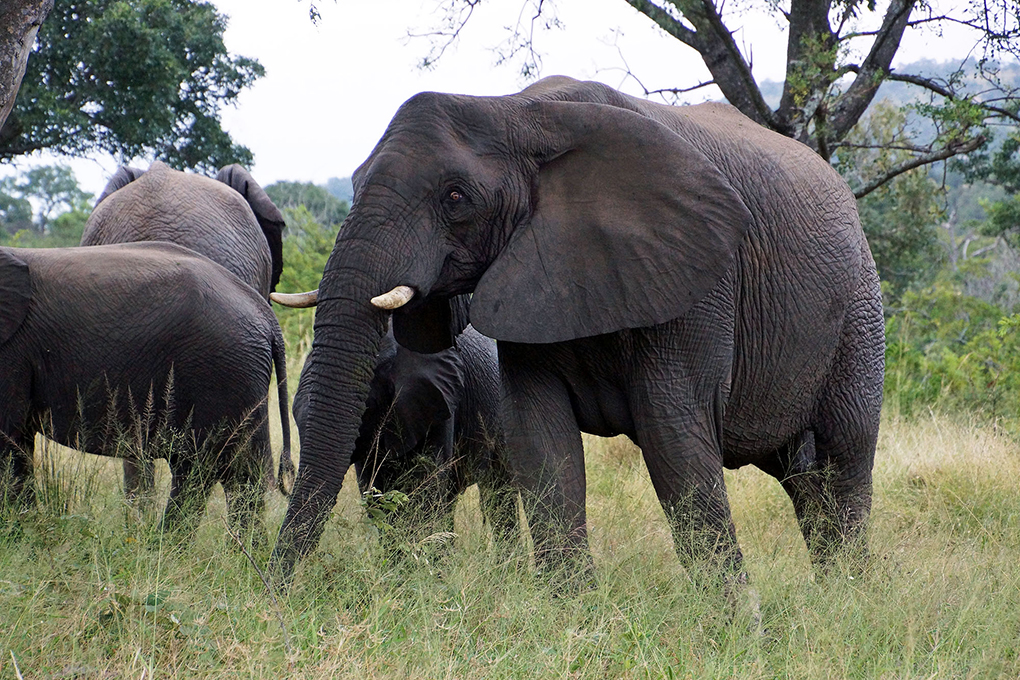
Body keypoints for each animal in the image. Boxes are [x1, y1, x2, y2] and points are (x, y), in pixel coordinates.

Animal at [0, 242, 291, 539]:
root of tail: (267, 316)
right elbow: (17, 445)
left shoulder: (12, 352)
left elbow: (6, 439)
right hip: (240, 379)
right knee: (236, 474)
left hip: (221, 373)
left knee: (202, 469)